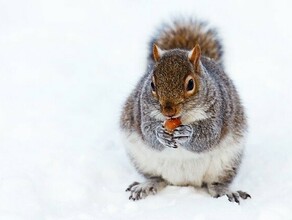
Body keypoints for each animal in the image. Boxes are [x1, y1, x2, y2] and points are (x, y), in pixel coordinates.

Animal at [120, 18, 250, 205]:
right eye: (152, 84)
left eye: (190, 84)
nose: (168, 111)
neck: (181, 118)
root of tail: (184, 182)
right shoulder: (142, 111)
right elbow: (148, 133)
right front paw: (160, 133)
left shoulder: (219, 111)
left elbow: (208, 136)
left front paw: (187, 133)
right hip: (142, 159)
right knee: (157, 178)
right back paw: (146, 185)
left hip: (226, 162)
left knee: (216, 183)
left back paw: (225, 192)